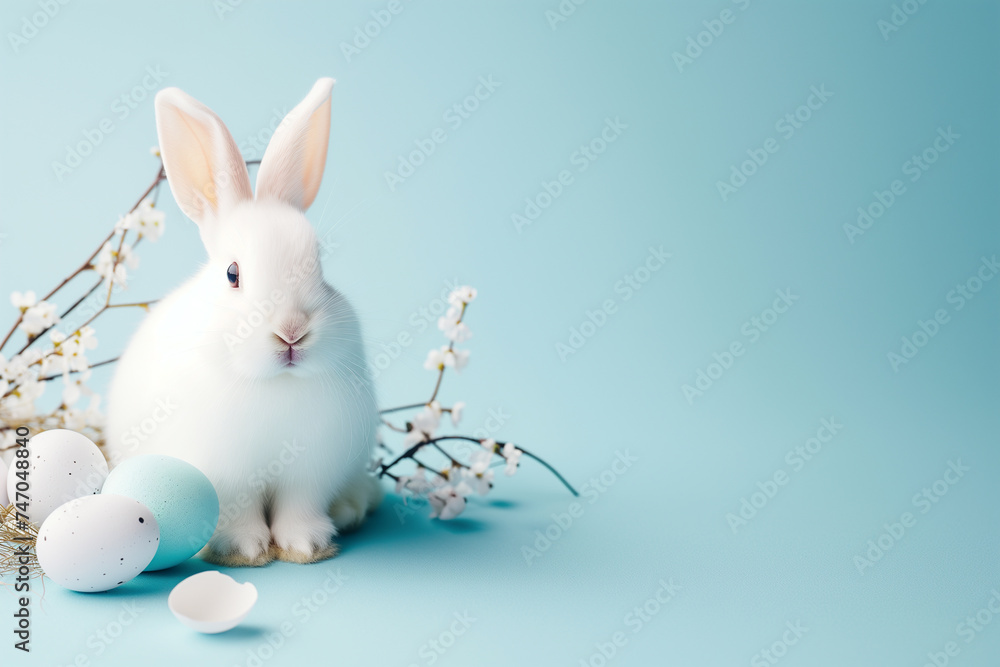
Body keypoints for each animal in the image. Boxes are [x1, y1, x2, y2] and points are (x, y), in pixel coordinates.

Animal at [104, 78, 382, 567]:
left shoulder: (310, 473)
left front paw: (307, 545)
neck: (272, 385)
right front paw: (243, 549)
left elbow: (298, 509)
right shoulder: (226, 477)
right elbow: (238, 513)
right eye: (233, 274)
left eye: (320, 267)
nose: (292, 332)